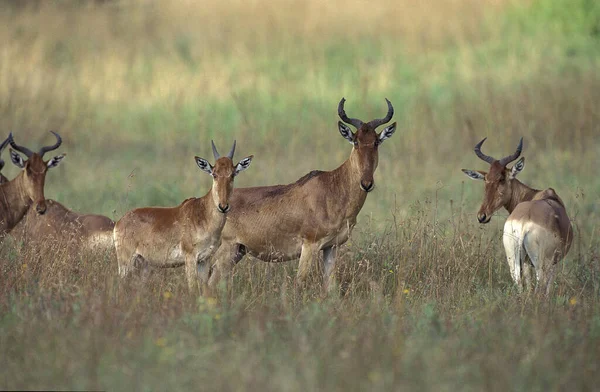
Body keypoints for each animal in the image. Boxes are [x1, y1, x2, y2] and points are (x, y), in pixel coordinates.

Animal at [113, 142, 252, 290]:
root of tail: (119, 222)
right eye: (214, 174)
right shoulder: (190, 257)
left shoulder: (204, 260)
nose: (223, 206)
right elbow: (193, 287)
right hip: (126, 261)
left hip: (143, 263)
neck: (202, 213)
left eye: (233, 174)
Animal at [207, 99, 398, 290]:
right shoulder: (309, 245)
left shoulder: (331, 247)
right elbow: (300, 282)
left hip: (238, 251)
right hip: (226, 249)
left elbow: (330, 286)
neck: (333, 186)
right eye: (356, 141)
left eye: (376, 142)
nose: (366, 183)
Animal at [462, 138, 576, 294]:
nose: (482, 216)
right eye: (486, 179)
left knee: (519, 284)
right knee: (540, 287)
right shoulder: (553, 262)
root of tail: (523, 222)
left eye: (501, 179)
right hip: (541, 264)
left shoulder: (526, 263)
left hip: (513, 259)